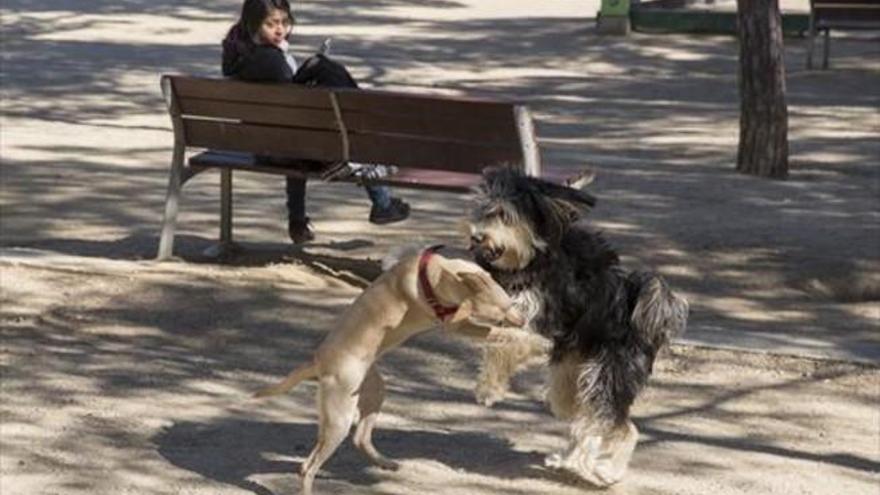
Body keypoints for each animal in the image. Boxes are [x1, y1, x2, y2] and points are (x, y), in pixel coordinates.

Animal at [254, 248, 524, 495]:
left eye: (510, 303)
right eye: (501, 313)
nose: (522, 320)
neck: (434, 276)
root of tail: (318, 361)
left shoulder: (459, 321)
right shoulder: (456, 324)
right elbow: (496, 332)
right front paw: (523, 336)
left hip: (373, 392)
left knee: (358, 439)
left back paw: (386, 463)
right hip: (339, 419)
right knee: (308, 467)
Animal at [468, 169, 688, 486]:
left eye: (503, 214)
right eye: (484, 210)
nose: (475, 236)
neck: (532, 261)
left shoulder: (537, 325)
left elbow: (504, 341)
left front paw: (489, 388)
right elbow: (495, 339)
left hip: (607, 376)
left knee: (620, 427)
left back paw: (607, 471)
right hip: (571, 381)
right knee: (585, 421)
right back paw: (571, 460)